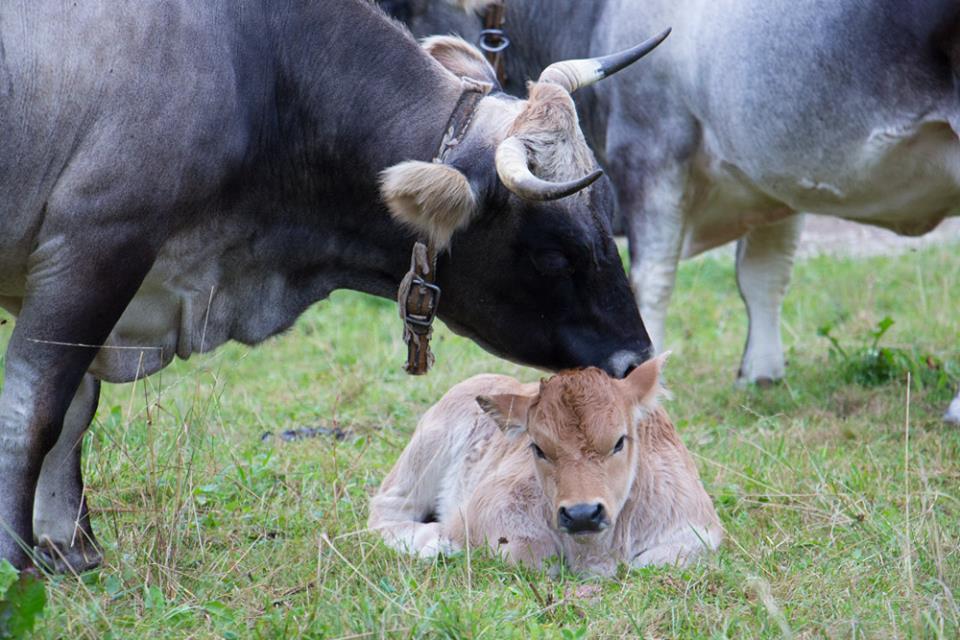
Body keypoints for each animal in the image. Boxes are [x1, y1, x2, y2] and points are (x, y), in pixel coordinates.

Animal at [0, 0, 668, 568]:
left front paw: (71, 549)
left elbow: (76, 412)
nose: (637, 358)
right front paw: (19, 562)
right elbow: (35, 411)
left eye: (605, 214)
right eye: (554, 255)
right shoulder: (95, 248)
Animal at [368, 356, 720, 576]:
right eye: (537, 447)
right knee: (384, 510)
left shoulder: (701, 528)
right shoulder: (484, 512)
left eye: (619, 441)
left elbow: (655, 562)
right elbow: (533, 557)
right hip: (421, 459)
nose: (582, 514)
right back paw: (433, 542)